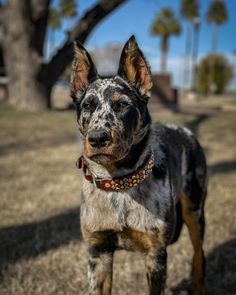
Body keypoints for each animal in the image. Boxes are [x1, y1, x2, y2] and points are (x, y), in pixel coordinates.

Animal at [70, 35, 206, 294]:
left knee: (199, 254)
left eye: (122, 104)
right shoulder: (98, 253)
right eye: (88, 105)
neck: (119, 183)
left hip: (195, 210)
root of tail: (185, 131)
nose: (98, 138)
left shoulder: (156, 255)